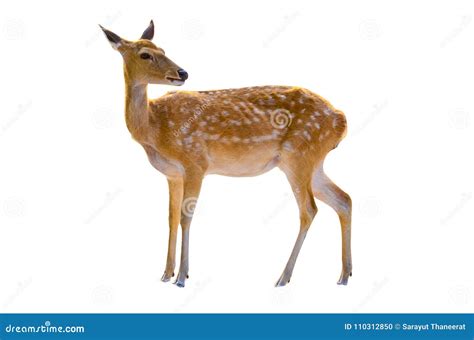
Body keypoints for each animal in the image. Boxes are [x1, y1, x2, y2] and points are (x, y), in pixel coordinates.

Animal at [100, 20, 352, 286]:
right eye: (145, 54)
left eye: (163, 50)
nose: (182, 73)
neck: (153, 128)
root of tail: (341, 119)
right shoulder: (172, 174)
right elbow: (170, 217)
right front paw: (166, 273)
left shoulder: (195, 162)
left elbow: (185, 217)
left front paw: (182, 276)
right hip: (311, 163)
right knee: (343, 199)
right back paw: (344, 274)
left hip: (300, 156)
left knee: (309, 210)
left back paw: (283, 277)